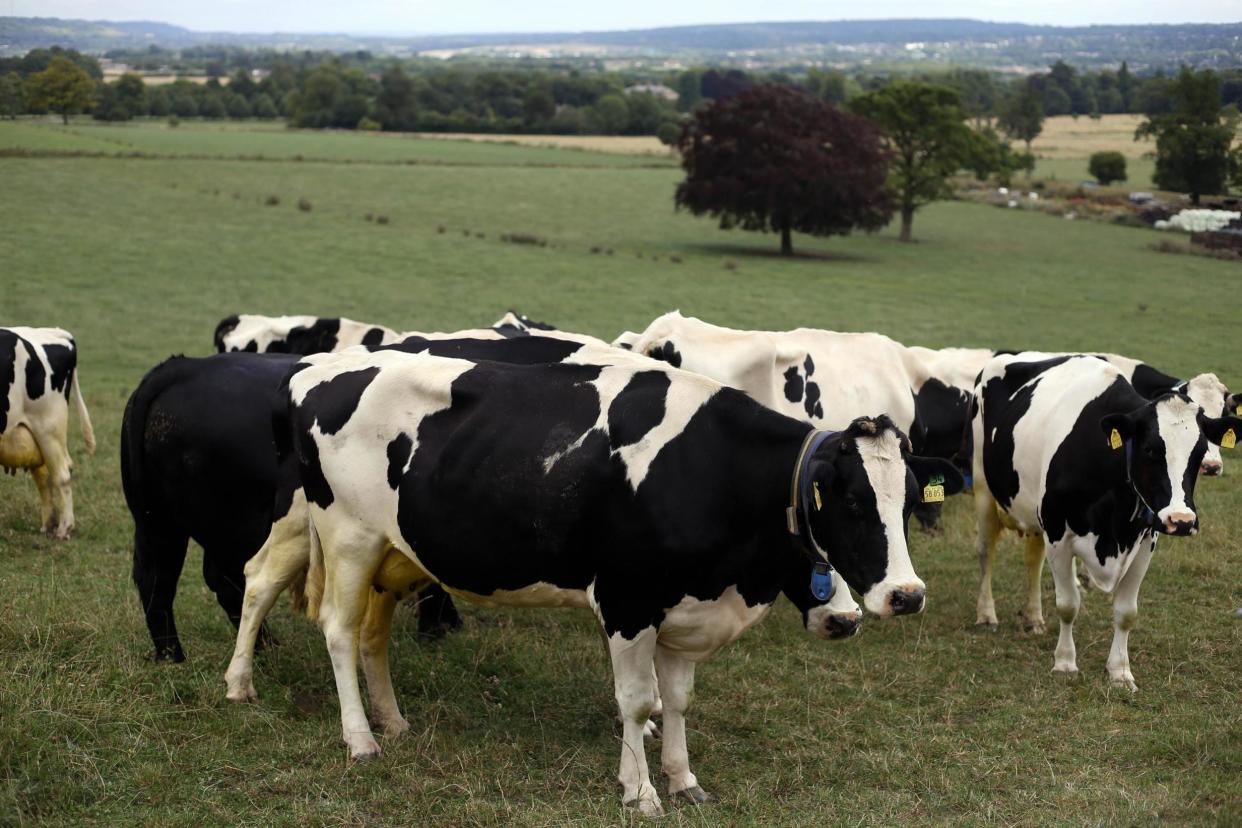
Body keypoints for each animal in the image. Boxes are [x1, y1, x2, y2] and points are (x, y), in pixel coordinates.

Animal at [0, 327, 95, 541]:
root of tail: (54, 332)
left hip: (48, 427)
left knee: (62, 473)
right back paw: (49, 524)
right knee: (44, 476)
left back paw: (64, 528)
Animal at [285, 347, 963, 814]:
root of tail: (320, 371)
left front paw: (683, 779)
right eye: (849, 503)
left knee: (372, 637)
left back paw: (393, 723)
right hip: (348, 537)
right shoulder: (627, 599)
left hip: (394, 552)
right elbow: (637, 701)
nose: (906, 596)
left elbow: (679, 699)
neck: (714, 470)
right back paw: (360, 739)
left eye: (908, 502)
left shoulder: (686, 608)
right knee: (340, 632)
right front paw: (639, 792)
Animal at [973, 352, 1237, 690]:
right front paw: (1065, 663)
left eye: (1199, 451)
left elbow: (1126, 612)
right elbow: (1068, 604)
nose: (1181, 520)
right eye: (1150, 449)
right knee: (986, 552)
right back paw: (986, 614)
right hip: (982, 486)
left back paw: (1033, 618)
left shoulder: (1146, 540)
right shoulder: (1058, 533)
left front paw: (1120, 672)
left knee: (1032, 560)